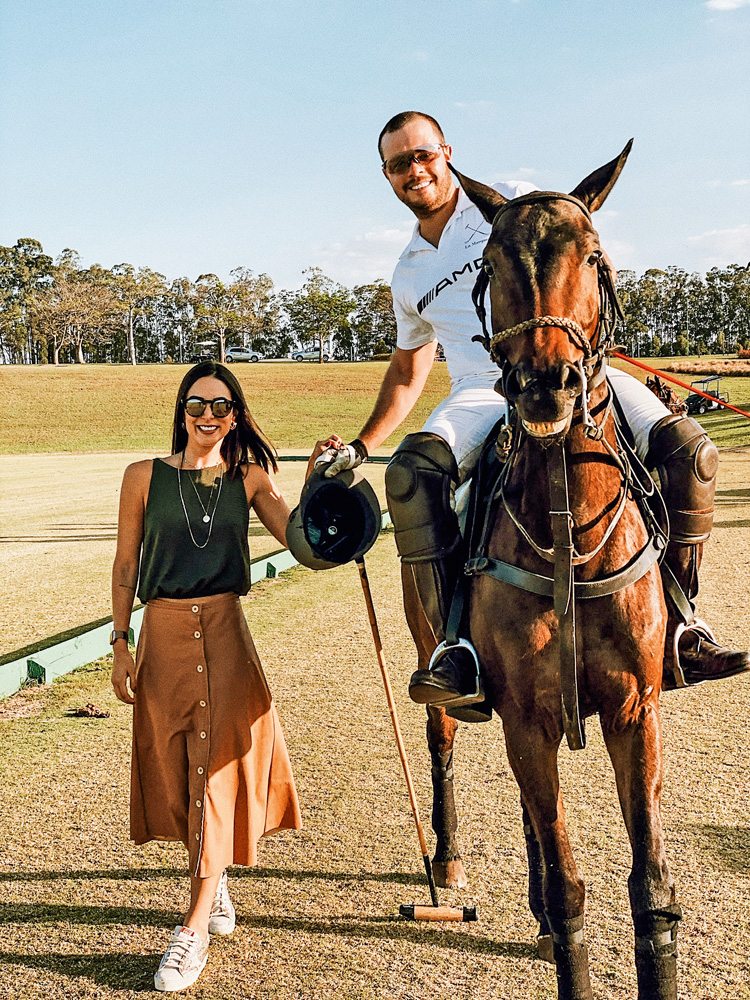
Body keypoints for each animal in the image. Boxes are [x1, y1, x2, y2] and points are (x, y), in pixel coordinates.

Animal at [408, 143, 684, 1000]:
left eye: (592, 256)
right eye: (493, 262)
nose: (545, 385)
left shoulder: (635, 708)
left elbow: (651, 890)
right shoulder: (526, 715)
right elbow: (569, 888)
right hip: (440, 661)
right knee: (444, 740)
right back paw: (449, 861)